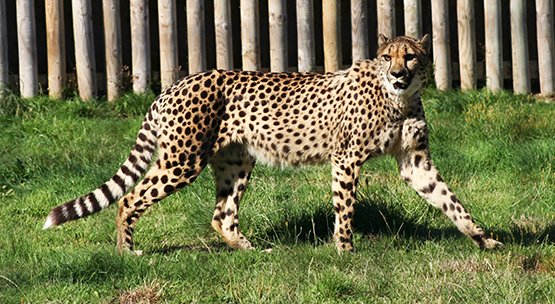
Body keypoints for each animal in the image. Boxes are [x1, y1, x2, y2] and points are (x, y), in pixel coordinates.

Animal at [44, 35, 504, 254]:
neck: (399, 99)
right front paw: (345, 252)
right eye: (387, 56)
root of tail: (174, 83)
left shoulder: (415, 162)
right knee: (130, 198)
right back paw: (127, 250)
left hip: (236, 163)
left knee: (222, 216)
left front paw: (484, 239)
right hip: (183, 159)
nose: (397, 74)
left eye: (411, 57)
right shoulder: (346, 158)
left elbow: (450, 201)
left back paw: (252, 251)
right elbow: (345, 209)